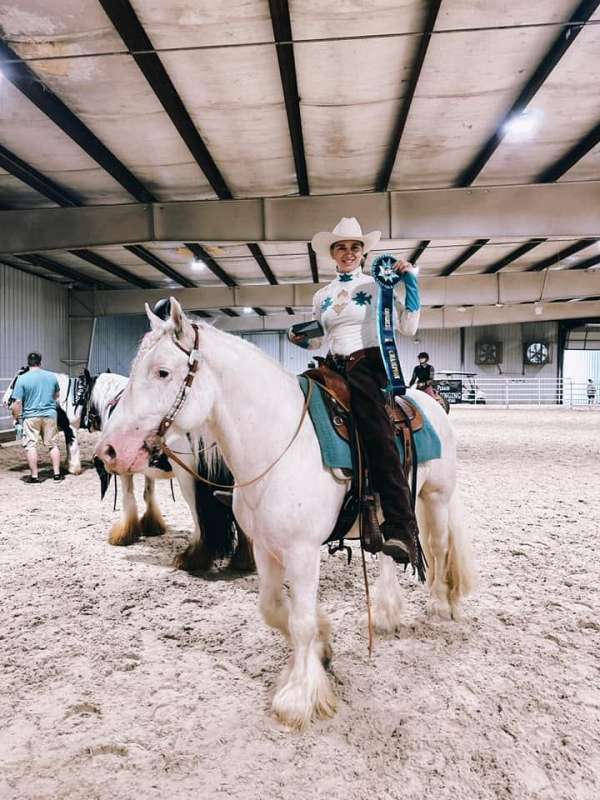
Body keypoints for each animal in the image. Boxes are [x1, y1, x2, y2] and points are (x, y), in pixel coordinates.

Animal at [96, 300, 476, 732]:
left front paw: (299, 696)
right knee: (388, 554)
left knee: (438, 546)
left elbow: (300, 621)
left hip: (437, 496)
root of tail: (427, 403)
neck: (277, 442)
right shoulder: (265, 547)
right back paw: (386, 612)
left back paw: (440, 605)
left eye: (162, 371)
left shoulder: (302, 552)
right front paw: (323, 646)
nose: (109, 450)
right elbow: (274, 609)